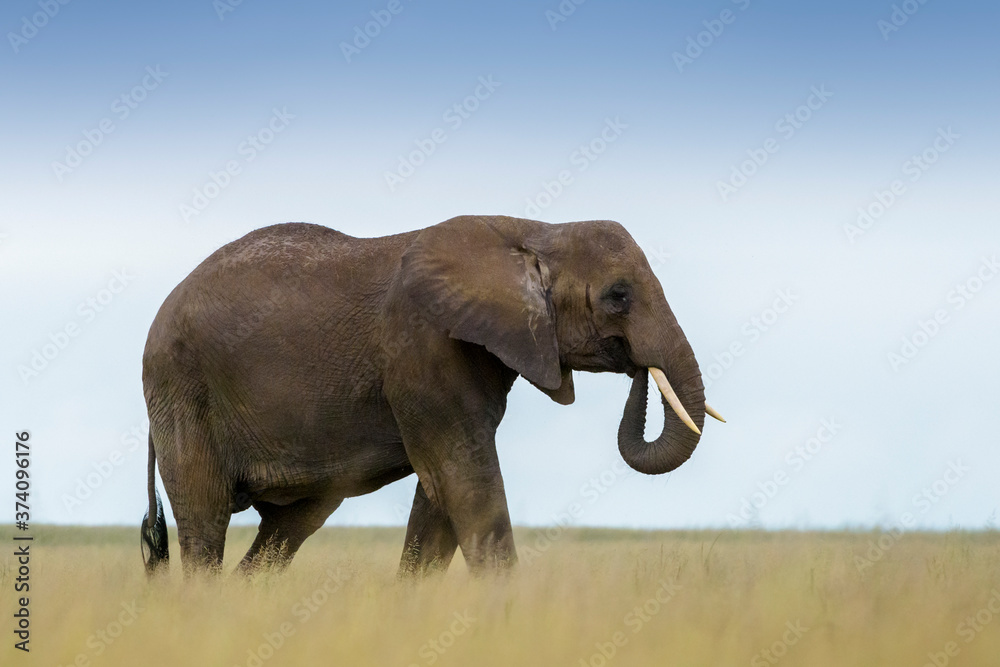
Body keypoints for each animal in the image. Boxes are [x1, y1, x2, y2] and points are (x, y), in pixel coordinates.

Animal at [139, 215, 722, 577]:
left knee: (290, 525)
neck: (534, 231)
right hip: (179, 388)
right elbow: (466, 482)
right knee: (205, 520)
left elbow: (441, 495)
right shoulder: (423, 346)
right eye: (618, 296)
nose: (638, 368)